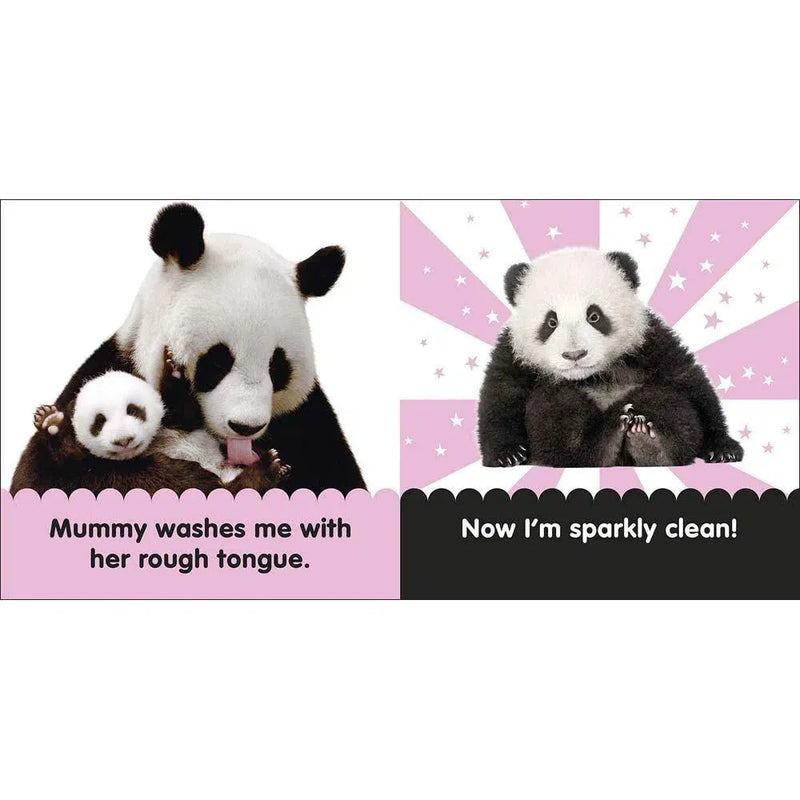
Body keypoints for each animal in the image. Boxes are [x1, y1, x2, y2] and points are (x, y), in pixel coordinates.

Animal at [18, 371, 289, 495]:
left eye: (133, 409)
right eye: (99, 421)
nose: (124, 440)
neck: (152, 443)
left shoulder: (173, 420)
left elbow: (185, 410)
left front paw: (174, 370)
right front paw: (51, 422)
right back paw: (267, 468)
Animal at [477, 248, 744, 468]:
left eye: (594, 316)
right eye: (551, 322)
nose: (575, 354)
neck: (593, 375)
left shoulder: (649, 340)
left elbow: (687, 380)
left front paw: (723, 447)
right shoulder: (514, 353)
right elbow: (501, 395)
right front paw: (507, 454)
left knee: (668, 403)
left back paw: (650, 444)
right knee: (557, 415)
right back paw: (604, 439)